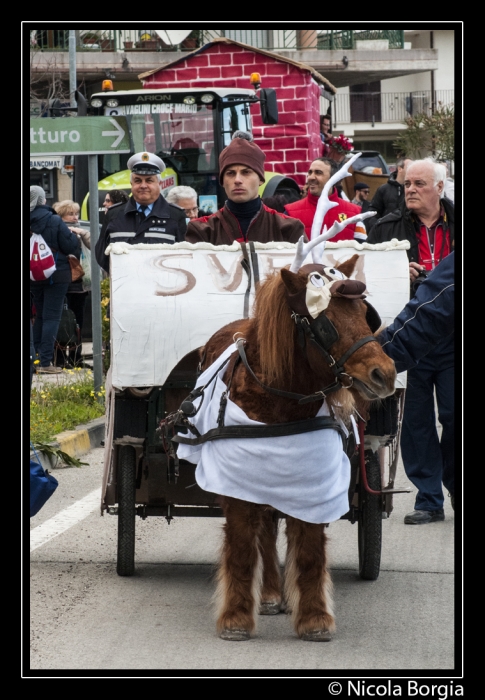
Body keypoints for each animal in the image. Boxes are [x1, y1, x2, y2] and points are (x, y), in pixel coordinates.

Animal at [172, 153, 396, 640]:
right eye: (325, 322)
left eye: (365, 314)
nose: (384, 373)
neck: (279, 404)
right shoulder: (236, 483)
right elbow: (242, 544)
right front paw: (237, 616)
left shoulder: (309, 481)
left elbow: (308, 548)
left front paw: (313, 617)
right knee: (261, 528)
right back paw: (270, 593)